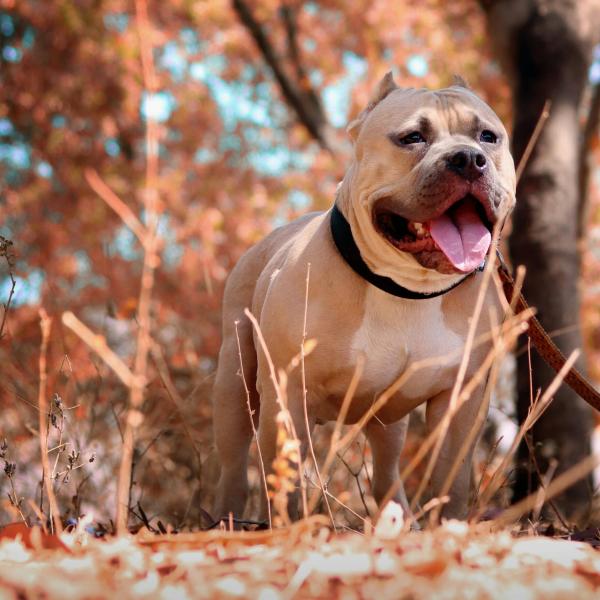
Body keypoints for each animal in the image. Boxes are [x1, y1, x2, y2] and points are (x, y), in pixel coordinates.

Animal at [211, 74, 516, 524]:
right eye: (412, 138)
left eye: (488, 137)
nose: (468, 158)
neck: (406, 289)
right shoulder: (288, 395)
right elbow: (285, 480)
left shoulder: (462, 402)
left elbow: (451, 478)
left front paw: (448, 526)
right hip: (236, 389)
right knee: (233, 466)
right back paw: (226, 521)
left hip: (389, 426)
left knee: (386, 473)